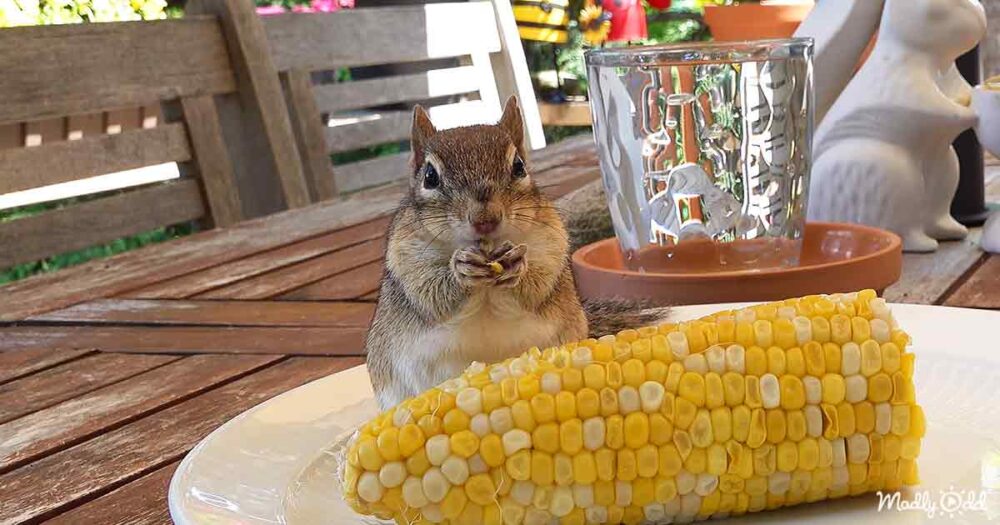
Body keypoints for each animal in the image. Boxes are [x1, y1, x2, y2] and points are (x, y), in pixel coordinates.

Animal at [366, 97, 659, 409]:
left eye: (519, 166)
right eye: (430, 177)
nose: (485, 219)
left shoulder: (552, 245)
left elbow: (538, 286)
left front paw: (519, 267)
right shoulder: (406, 259)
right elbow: (430, 295)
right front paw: (459, 271)